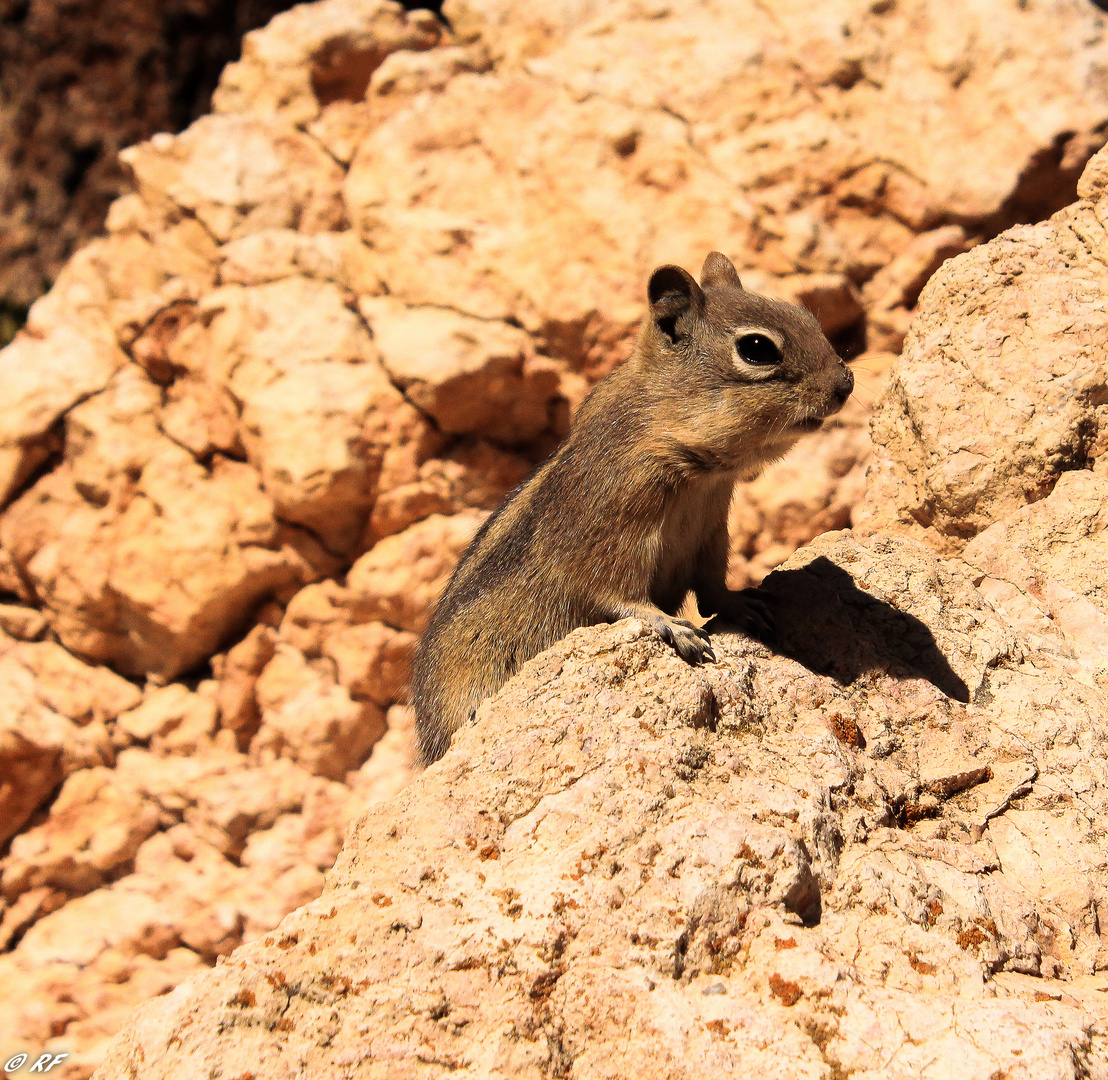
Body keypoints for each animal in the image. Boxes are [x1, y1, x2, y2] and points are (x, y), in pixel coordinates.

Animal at [412, 253, 850, 766]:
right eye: (758, 348)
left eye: (807, 318)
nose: (846, 383)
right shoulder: (611, 535)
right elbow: (617, 593)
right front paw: (670, 625)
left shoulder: (711, 533)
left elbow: (711, 589)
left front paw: (740, 601)